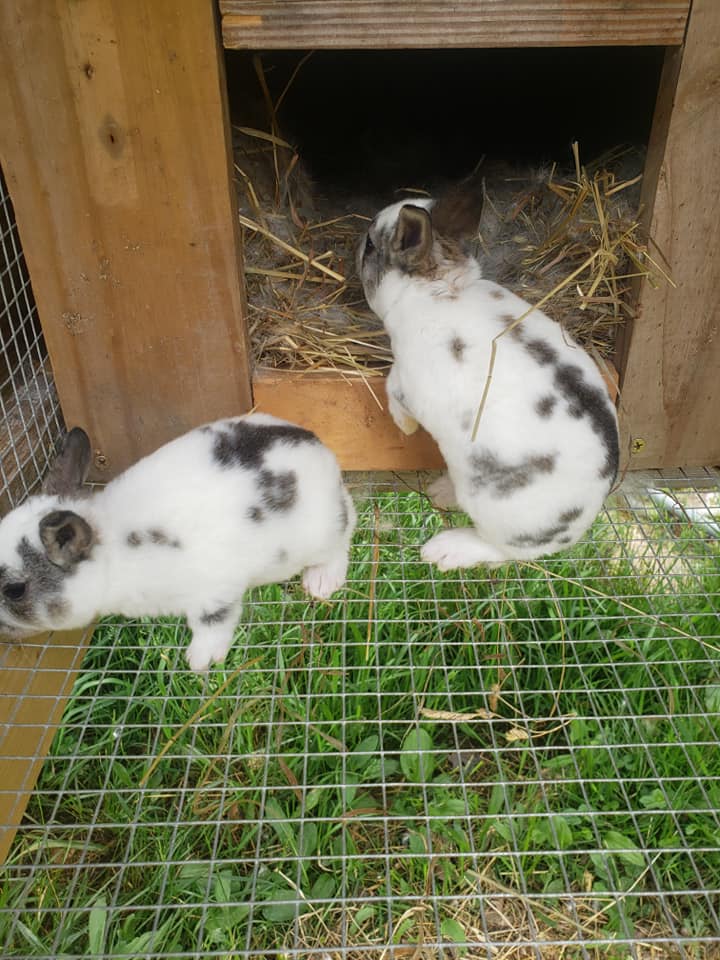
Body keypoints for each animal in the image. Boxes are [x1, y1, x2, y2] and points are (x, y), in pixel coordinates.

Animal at [0, 414, 356, 671]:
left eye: (15, 590)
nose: (3, 633)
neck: (114, 552)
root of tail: (322, 452)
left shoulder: (214, 592)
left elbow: (211, 623)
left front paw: (199, 661)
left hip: (323, 532)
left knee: (342, 539)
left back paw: (321, 582)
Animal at [358, 179, 619, 571]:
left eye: (372, 245)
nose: (358, 242)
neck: (438, 290)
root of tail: (577, 524)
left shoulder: (409, 380)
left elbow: (392, 388)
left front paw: (406, 426)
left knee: (502, 551)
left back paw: (444, 550)